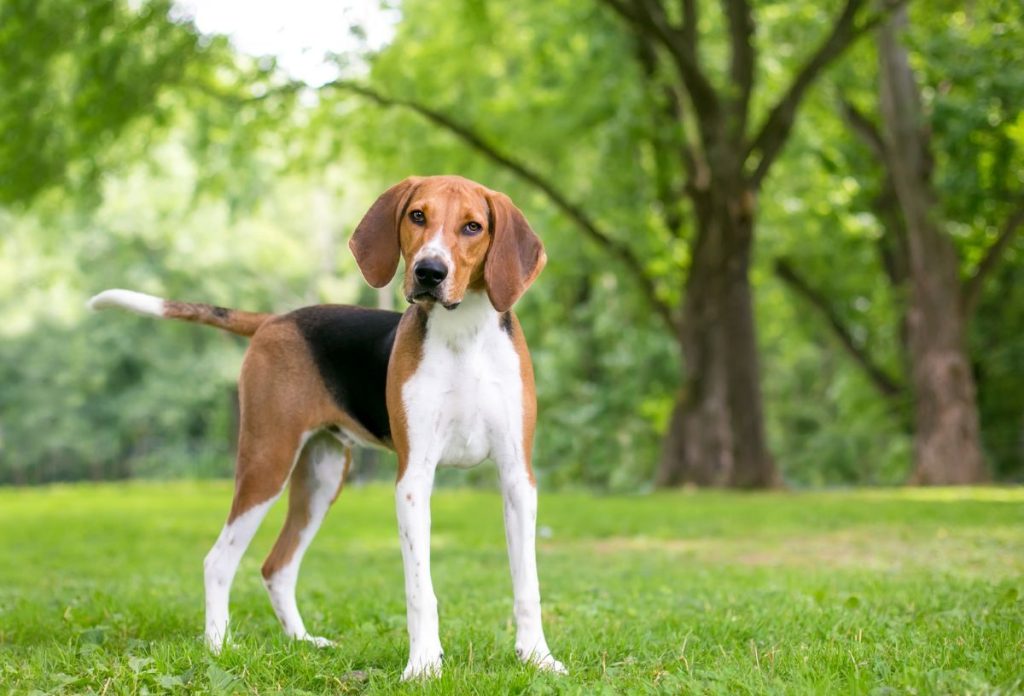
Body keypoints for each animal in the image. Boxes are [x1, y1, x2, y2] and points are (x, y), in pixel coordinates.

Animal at [86, 175, 569, 679]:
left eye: (473, 226)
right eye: (417, 215)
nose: (429, 272)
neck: (465, 337)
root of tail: (276, 319)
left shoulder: (517, 477)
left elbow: (527, 584)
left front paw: (538, 657)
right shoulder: (414, 479)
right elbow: (420, 589)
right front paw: (423, 665)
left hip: (320, 478)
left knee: (276, 567)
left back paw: (302, 643)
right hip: (268, 462)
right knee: (218, 561)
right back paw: (218, 649)